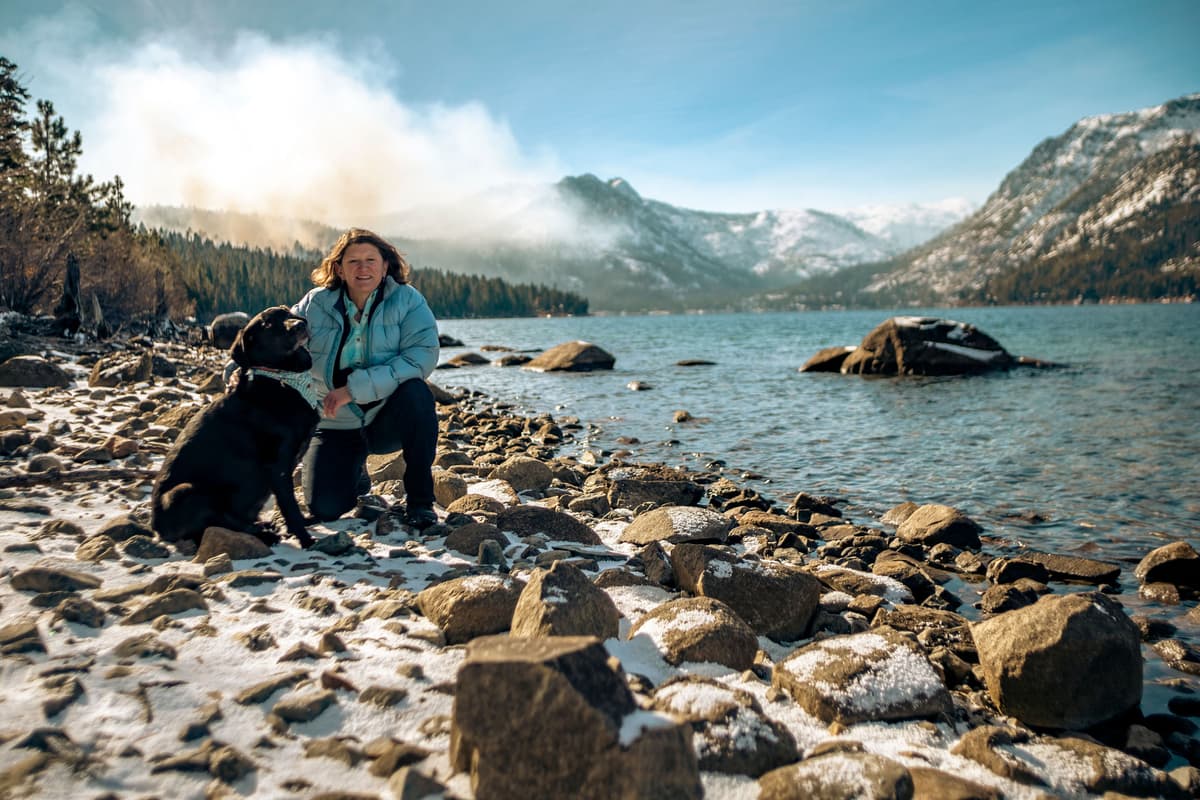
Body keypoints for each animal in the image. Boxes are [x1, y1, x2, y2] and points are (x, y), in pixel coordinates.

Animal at [149, 307, 319, 551]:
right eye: (267, 325)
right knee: (211, 527)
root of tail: (155, 529)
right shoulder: (277, 466)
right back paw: (264, 535)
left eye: (287, 313)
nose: (299, 325)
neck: (281, 378)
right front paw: (306, 539)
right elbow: (290, 506)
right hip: (186, 492)